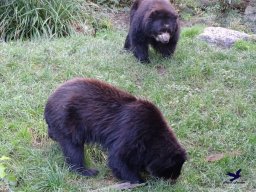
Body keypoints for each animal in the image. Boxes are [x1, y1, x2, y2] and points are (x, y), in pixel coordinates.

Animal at [44, 77, 186, 183]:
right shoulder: (132, 132)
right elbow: (118, 158)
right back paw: (88, 171)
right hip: (68, 121)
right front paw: (140, 180)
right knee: (73, 148)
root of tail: (48, 102)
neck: (152, 136)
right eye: (173, 168)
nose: (174, 179)